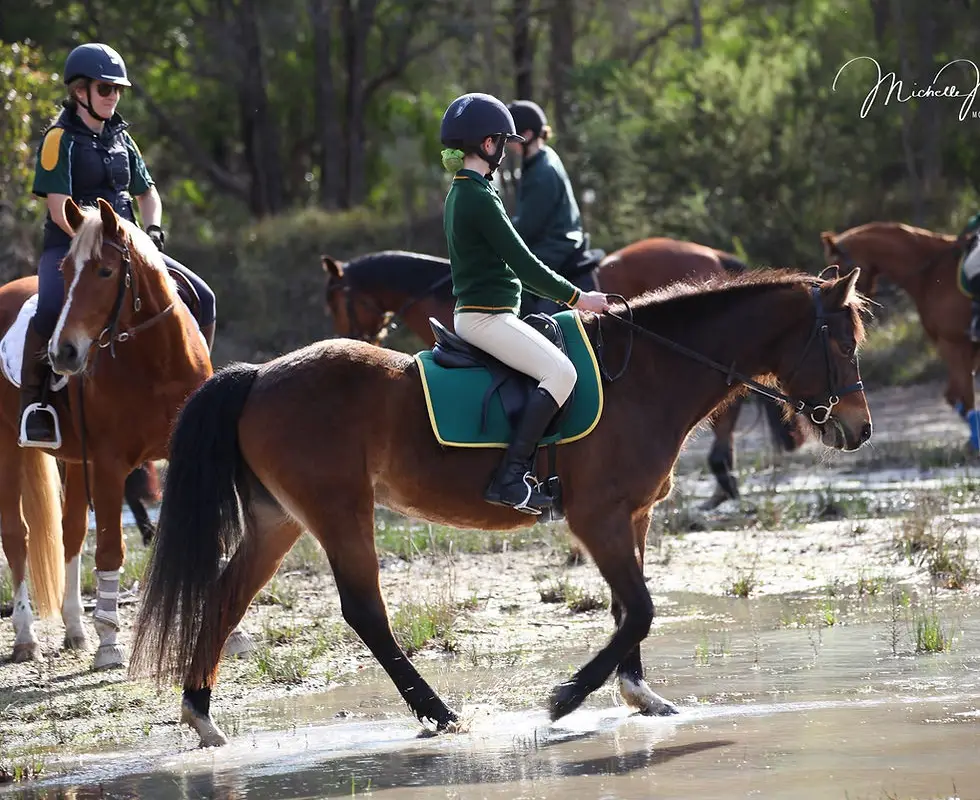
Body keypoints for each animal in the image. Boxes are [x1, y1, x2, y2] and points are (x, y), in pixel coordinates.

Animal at [0, 196, 254, 669]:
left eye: (104, 271)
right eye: (65, 272)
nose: (62, 354)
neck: (157, 360)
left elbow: (207, 535)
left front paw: (233, 634)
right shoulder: (109, 464)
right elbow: (110, 549)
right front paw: (109, 643)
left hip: (74, 459)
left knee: (71, 531)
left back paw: (75, 630)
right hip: (8, 446)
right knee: (16, 533)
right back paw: (27, 636)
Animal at [820, 222, 978, 445]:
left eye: (839, 269)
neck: (931, 274)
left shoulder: (954, 343)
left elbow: (965, 397)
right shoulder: (960, 347)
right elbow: (956, 396)